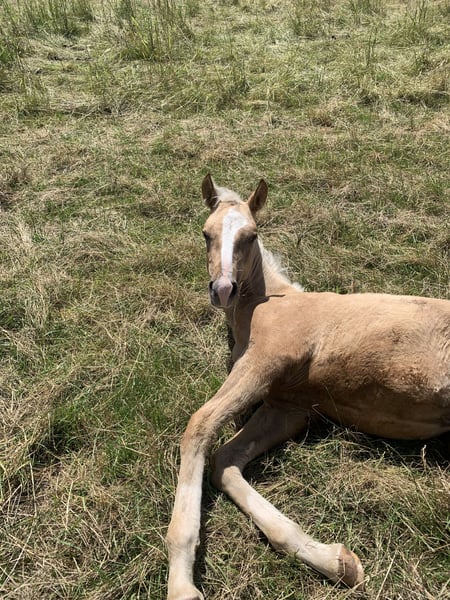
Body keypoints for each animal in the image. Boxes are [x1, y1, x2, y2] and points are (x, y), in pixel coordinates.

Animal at [166, 175, 450, 600]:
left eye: (251, 235)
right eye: (206, 233)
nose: (223, 289)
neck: (270, 303)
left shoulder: (264, 361)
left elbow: (200, 425)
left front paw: (181, 584)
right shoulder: (289, 407)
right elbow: (226, 462)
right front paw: (336, 561)